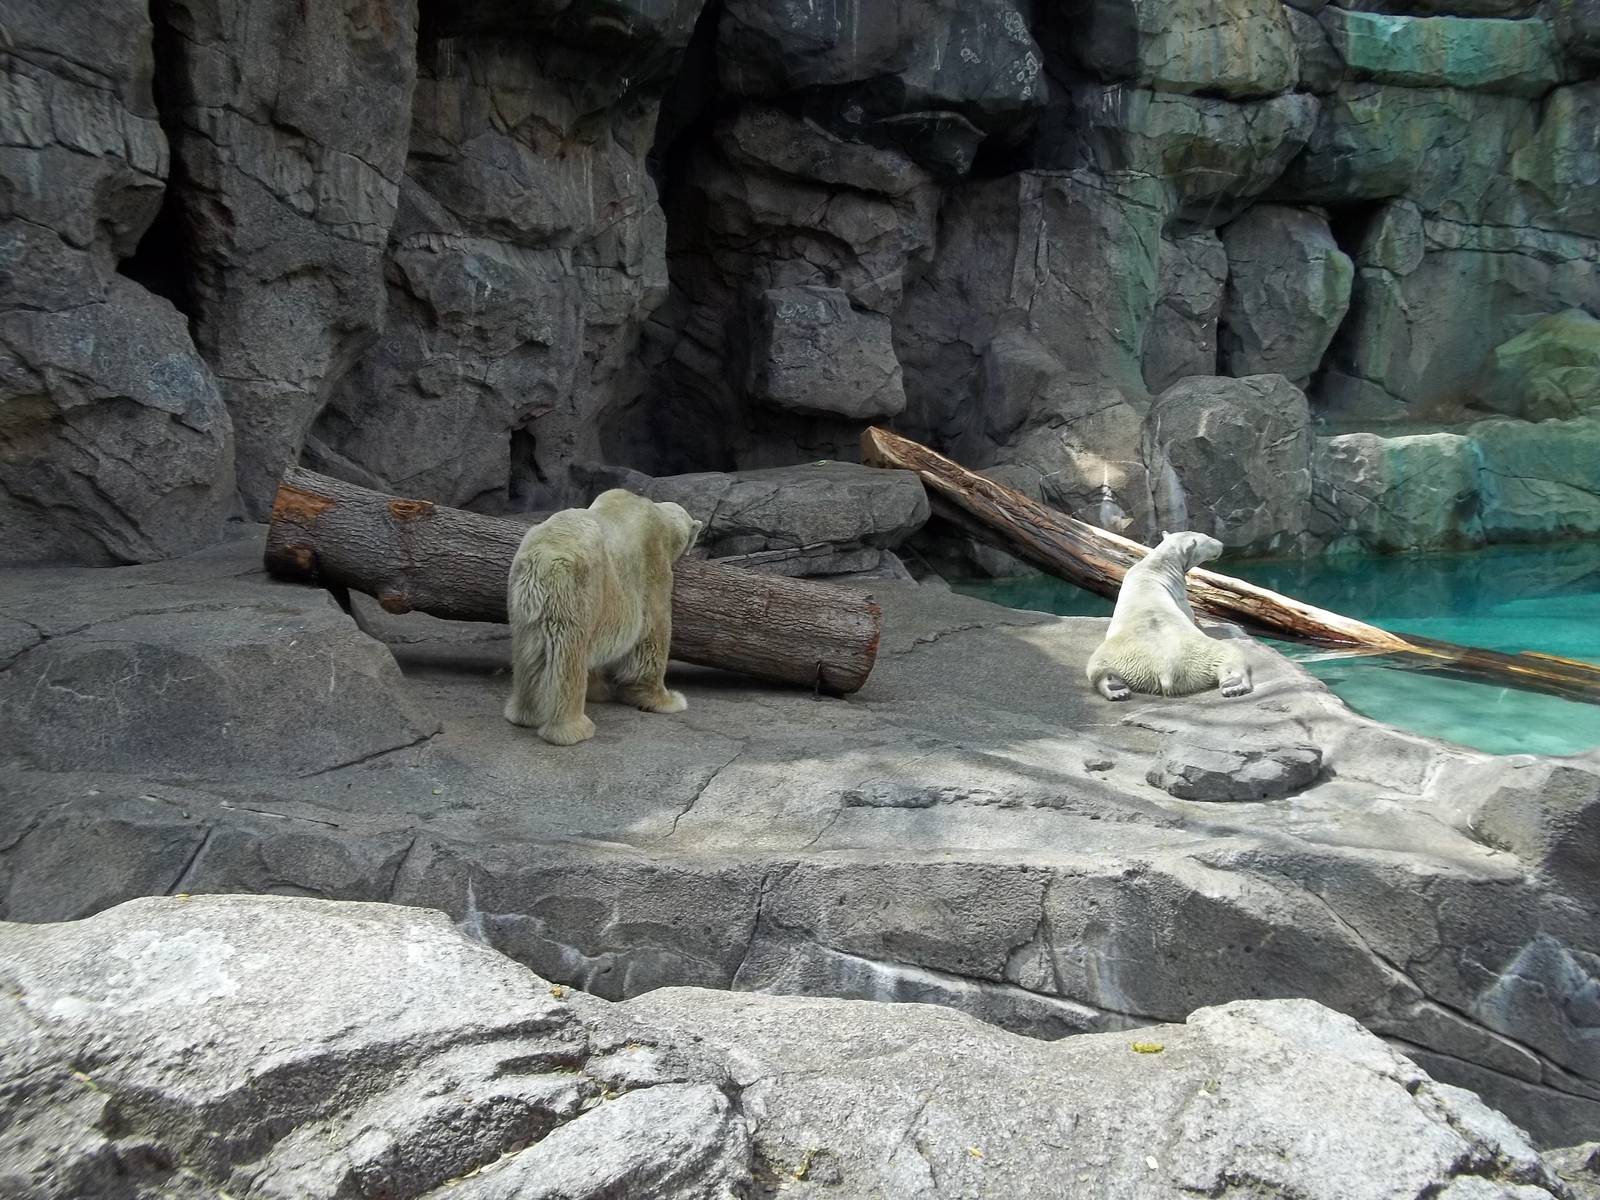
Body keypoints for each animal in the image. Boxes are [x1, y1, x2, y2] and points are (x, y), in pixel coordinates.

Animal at [504, 489, 703, 745]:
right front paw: (668, 700)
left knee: (526, 654)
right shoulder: (653, 564)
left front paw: (599, 690)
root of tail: (541, 562)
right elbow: (652, 632)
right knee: (569, 657)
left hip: (520, 601)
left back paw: (524, 714)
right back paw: (573, 729)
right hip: (575, 589)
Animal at [1085, 530, 1254, 702]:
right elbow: (1190, 613)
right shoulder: (1180, 593)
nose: (1222, 544)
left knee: (1100, 668)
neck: (1156, 566)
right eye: (1207, 538)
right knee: (1232, 654)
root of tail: (1164, 670)